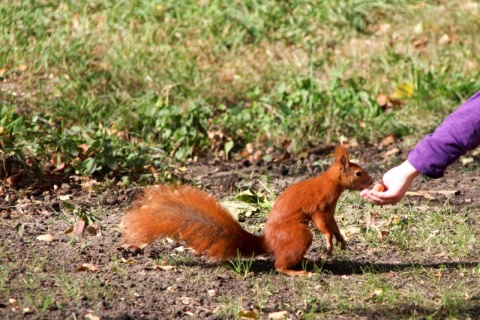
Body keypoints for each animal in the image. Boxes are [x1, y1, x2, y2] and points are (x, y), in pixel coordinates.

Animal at [122, 146, 374, 276]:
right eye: (359, 173)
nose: (372, 182)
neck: (331, 183)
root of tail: (268, 241)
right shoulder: (320, 206)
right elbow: (323, 225)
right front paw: (330, 242)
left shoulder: (330, 209)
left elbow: (334, 225)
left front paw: (341, 240)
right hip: (298, 234)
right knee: (279, 265)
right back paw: (297, 271)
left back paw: (306, 263)